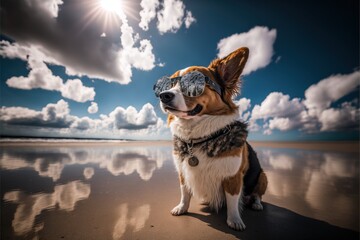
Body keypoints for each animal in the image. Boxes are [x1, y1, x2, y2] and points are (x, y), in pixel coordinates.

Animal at [153, 46, 268, 231]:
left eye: (193, 82)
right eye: (170, 84)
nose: (164, 95)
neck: (199, 137)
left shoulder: (233, 176)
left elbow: (233, 200)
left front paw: (234, 220)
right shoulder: (183, 172)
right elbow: (185, 192)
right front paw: (182, 208)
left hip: (263, 176)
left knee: (257, 194)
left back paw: (256, 204)